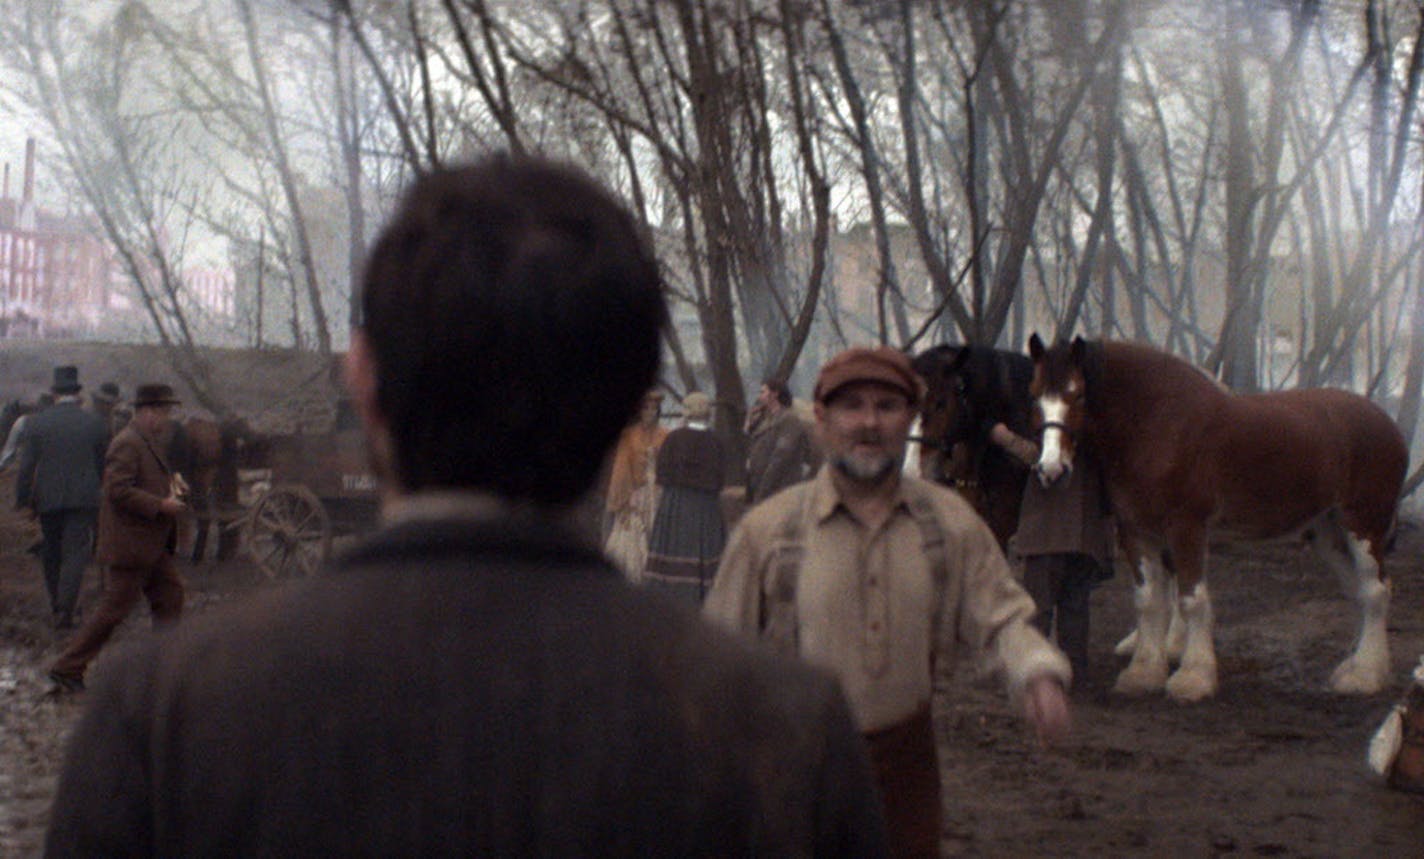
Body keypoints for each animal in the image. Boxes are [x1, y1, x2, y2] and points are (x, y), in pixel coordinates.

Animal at [1030, 333, 1406, 703]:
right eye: (1035, 396)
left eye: (1077, 394)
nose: (1051, 470)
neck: (1159, 424)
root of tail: (1387, 423)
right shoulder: (1135, 530)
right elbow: (1148, 600)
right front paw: (1143, 673)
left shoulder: (1186, 527)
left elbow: (1191, 600)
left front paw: (1193, 678)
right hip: (1326, 531)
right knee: (1358, 590)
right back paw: (1353, 665)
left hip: (1362, 524)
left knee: (1375, 590)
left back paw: (1365, 675)